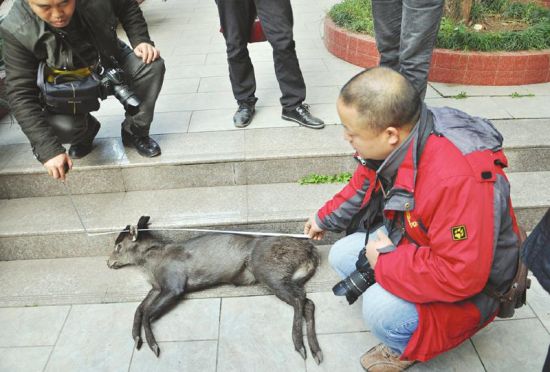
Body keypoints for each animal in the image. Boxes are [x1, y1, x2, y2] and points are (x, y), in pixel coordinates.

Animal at [106, 215, 324, 364]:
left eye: (118, 245)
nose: (108, 262)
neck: (151, 265)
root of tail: (310, 252)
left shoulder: (174, 284)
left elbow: (147, 313)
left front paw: (153, 346)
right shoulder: (156, 287)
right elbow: (140, 309)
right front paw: (136, 337)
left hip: (269, 270)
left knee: (299, 300)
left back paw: (300, 346)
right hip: (289, 277)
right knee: (308, 302)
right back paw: (316, 351)